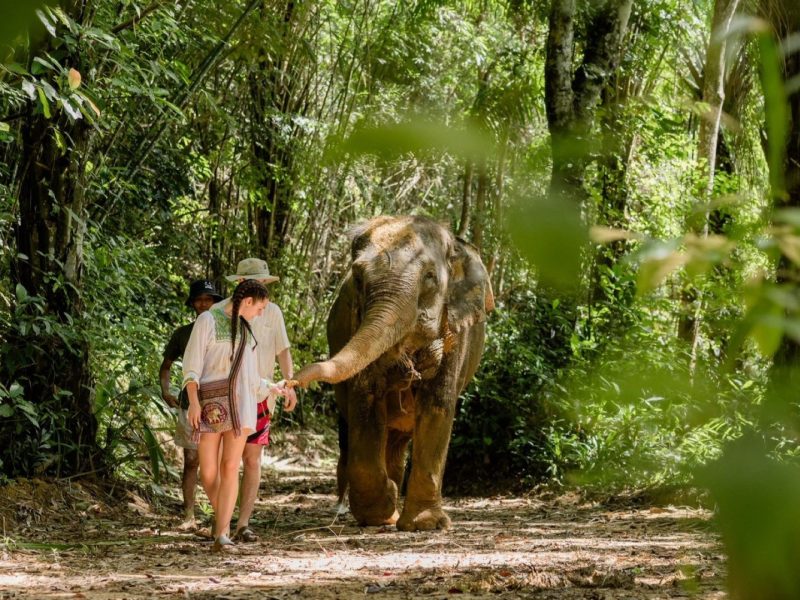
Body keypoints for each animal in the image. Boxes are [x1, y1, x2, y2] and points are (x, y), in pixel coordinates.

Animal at [294, 215, 494, 531]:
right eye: (358, 278)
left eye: (429, 277)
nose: (292, 380)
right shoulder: (356, 324)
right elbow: (365, 402)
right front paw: (379, 512)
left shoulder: (456, 334)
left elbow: (437, 407)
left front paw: (426, 524)